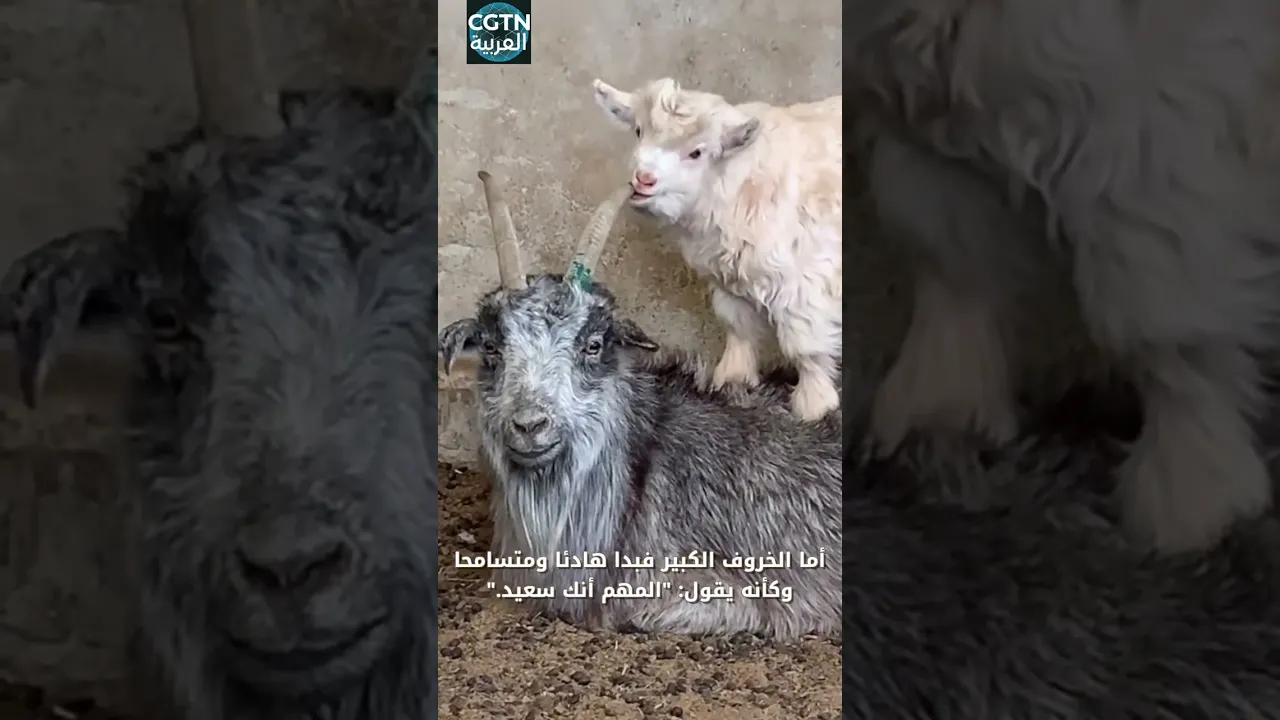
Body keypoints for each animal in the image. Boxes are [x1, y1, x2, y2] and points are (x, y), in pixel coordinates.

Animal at [590, 77, 843, 423]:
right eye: (639, 130)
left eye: (697, 152)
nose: (644, 179)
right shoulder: (728, 281)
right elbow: (737, 325)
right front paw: (732, 381)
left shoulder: (803, 286)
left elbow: (806, 349)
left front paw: (816, 409)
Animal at [847, 1, 1280, 554]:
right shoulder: (933, 140)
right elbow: (953, 266)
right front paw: (937, 416)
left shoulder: (1150, 138)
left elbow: (1163, 325)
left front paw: (1194, 504)